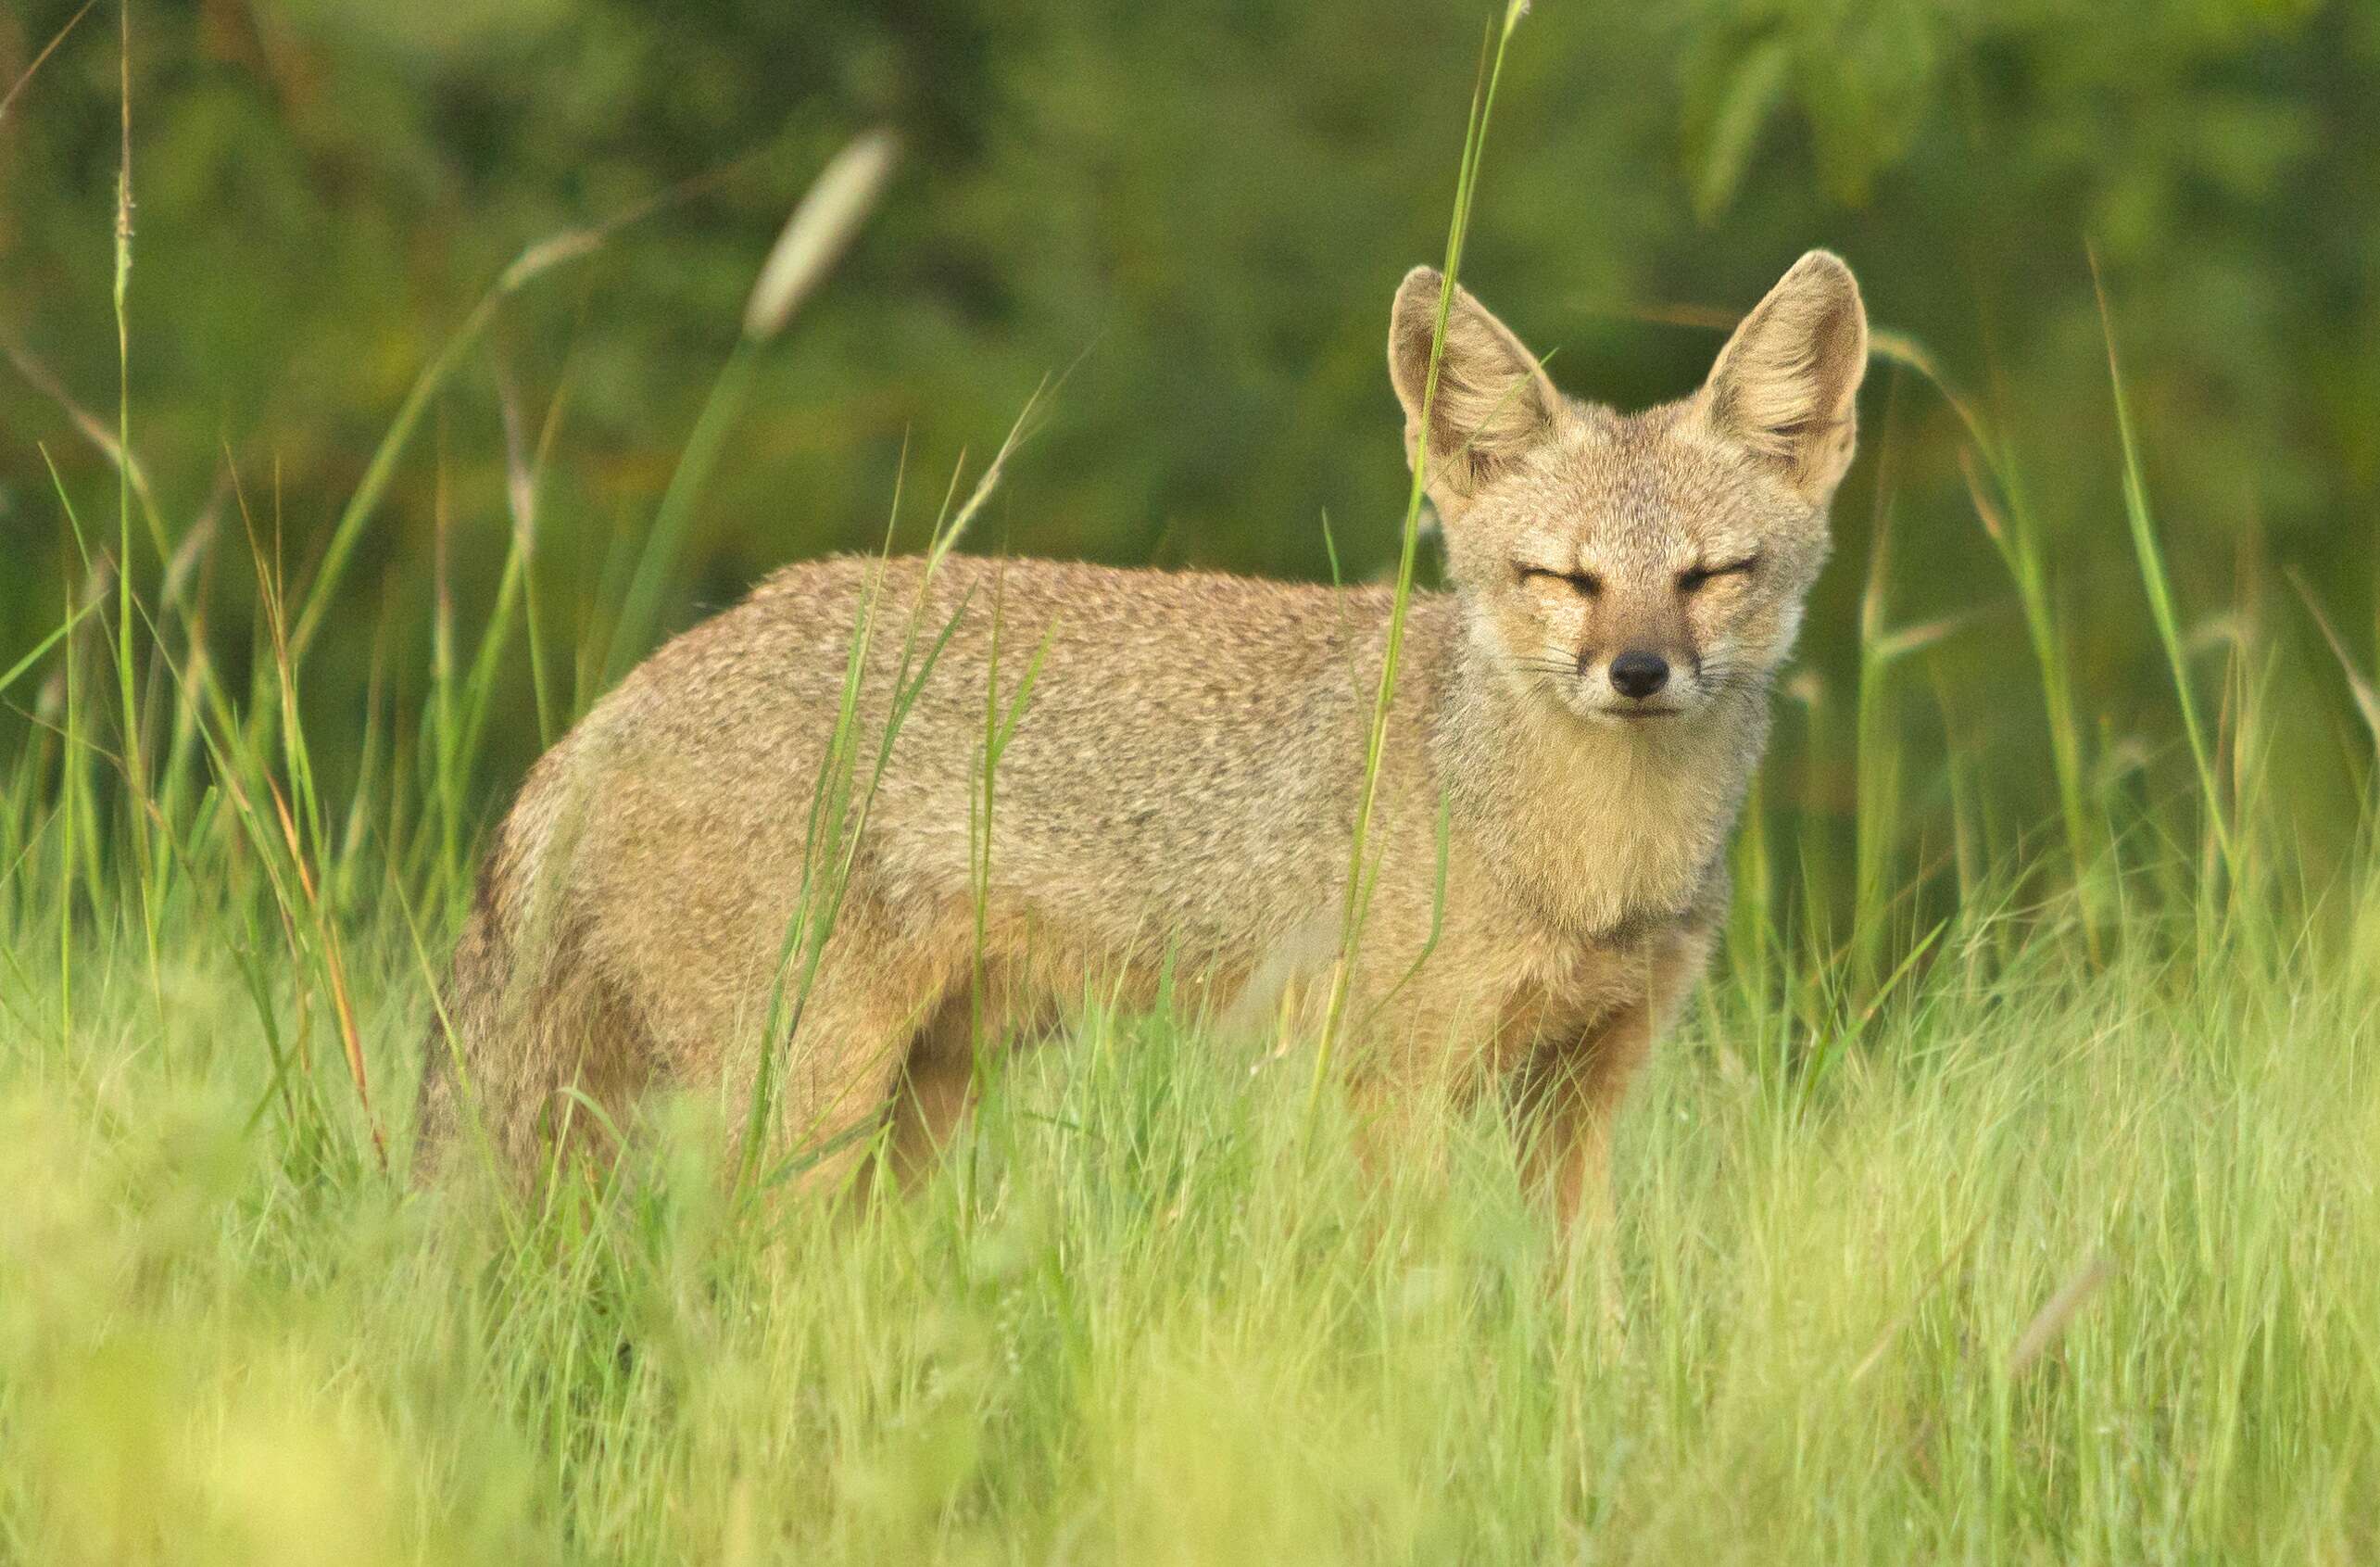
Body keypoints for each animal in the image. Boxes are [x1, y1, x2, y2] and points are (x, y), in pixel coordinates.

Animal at [433, 249, 1875, 1214]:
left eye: (1710, 575)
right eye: (1563, 579)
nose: (1637, 671)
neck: (1587, 868)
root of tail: (623, 694)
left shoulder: (1583, 1097)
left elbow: (1584, 1327)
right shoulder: (1390, 1088)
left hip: (910, 1113)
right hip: (804, 1104)